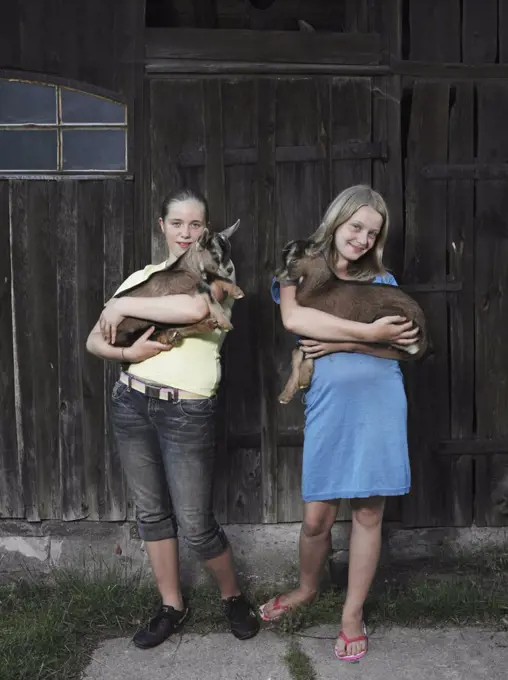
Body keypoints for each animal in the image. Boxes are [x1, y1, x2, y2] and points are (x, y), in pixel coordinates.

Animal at [278, 239, 428, 404]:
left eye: (294, 260)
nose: (277, 275)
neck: (319, 289)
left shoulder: (316, 321)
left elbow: (305, 351)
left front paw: (304, 379)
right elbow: (297, 351)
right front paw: (285, 395)